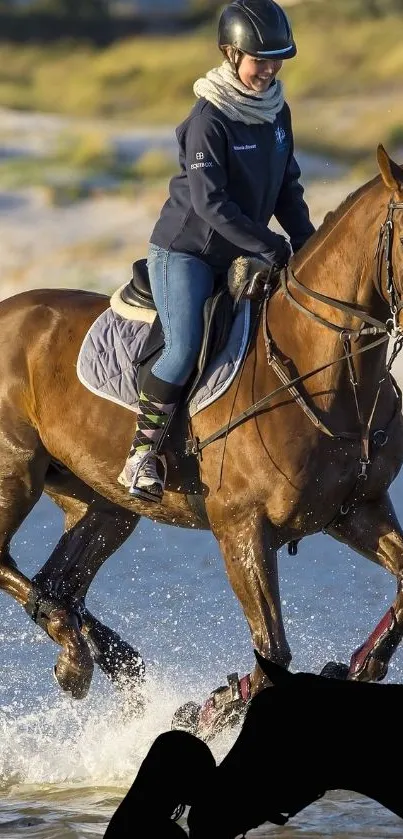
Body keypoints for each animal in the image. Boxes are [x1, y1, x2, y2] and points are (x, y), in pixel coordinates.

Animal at [1, 144, 403, 728]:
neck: (323, 373)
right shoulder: (241, 528)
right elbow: (272, 650)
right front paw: (217, 709)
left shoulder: (357, 511)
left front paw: (361, 664)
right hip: (15, 471)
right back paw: (77, 658)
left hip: (102, 503)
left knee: (60, 584)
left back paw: (107, 661)